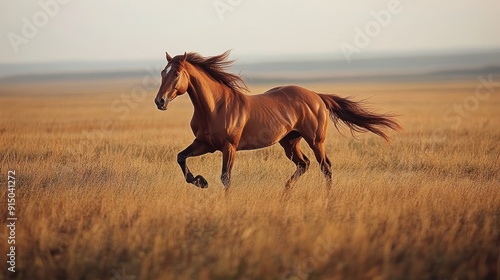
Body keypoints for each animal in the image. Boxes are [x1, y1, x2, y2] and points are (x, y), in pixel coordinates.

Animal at [154, 50, 400, 190]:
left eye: (176, 73)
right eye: (162, 73)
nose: (160, 101)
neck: (215, 107)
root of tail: (317, 96)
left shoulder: (229, 147)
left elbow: (226, 178)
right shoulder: (204, 144)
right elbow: (181, 157)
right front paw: (201, 181)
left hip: (315, 140)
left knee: (325, 167)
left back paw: (328, 200)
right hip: (290, 142)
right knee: (304, 164)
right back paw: (285, 193)